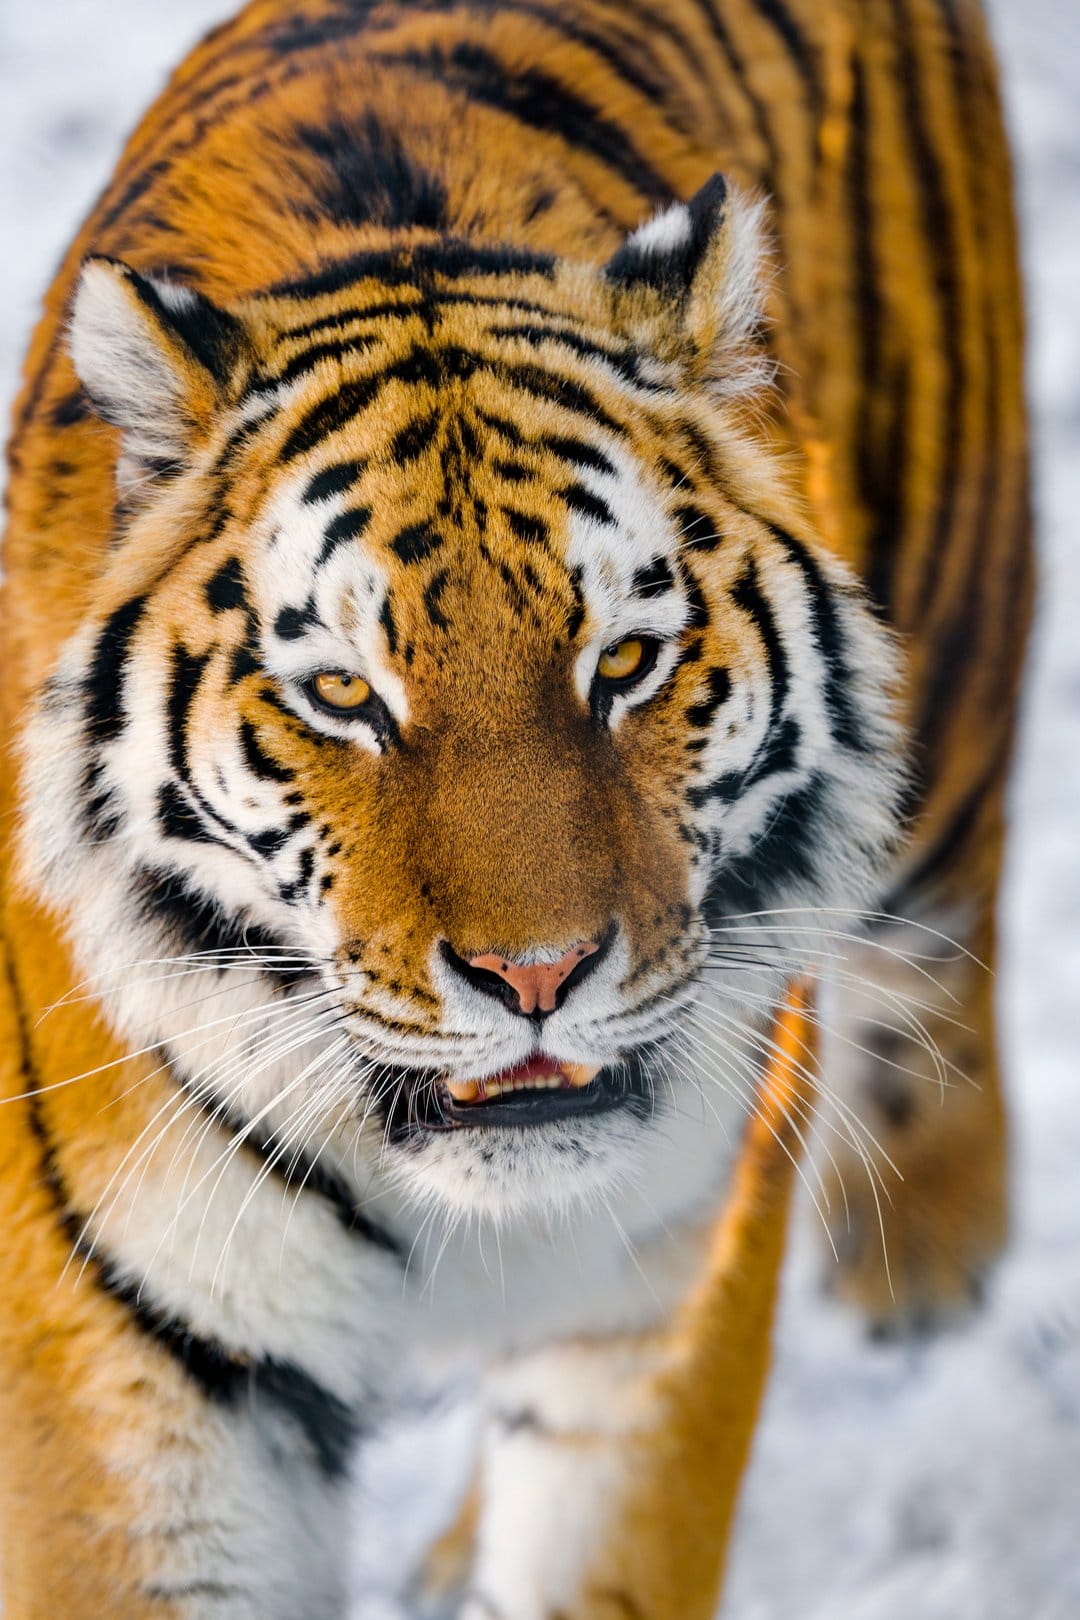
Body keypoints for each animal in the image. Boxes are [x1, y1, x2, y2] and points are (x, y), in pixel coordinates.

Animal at [0, 0, 1031, 1615]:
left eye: (624, 663)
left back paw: (924, 1256)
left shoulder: (661, 1302)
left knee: (946, 932)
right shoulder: (143, 1361)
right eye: (343, 695)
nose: (537, 978)